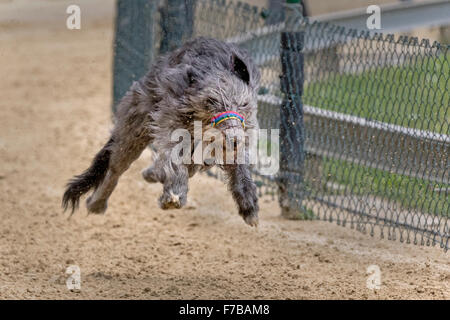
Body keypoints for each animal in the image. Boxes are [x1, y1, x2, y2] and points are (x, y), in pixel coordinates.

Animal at [62, 37, 260, 226]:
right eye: (210, 102)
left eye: (244, 103)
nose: (234, 139)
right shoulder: (171, 121)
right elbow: (174, 159)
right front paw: (174, 193)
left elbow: (238, 166)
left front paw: (249, 205)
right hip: (135, 126)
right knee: (116, 167)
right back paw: (97, 202)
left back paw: (153, 173)